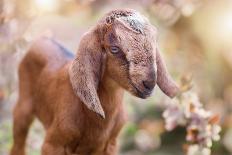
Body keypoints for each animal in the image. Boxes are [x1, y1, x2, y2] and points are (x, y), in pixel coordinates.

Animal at [10, 9, 179, 155]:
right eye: (114, 49)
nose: (149, 83)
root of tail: (43, 38)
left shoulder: (110, 145)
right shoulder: (53, 144)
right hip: (22, 108)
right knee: (18, 142)